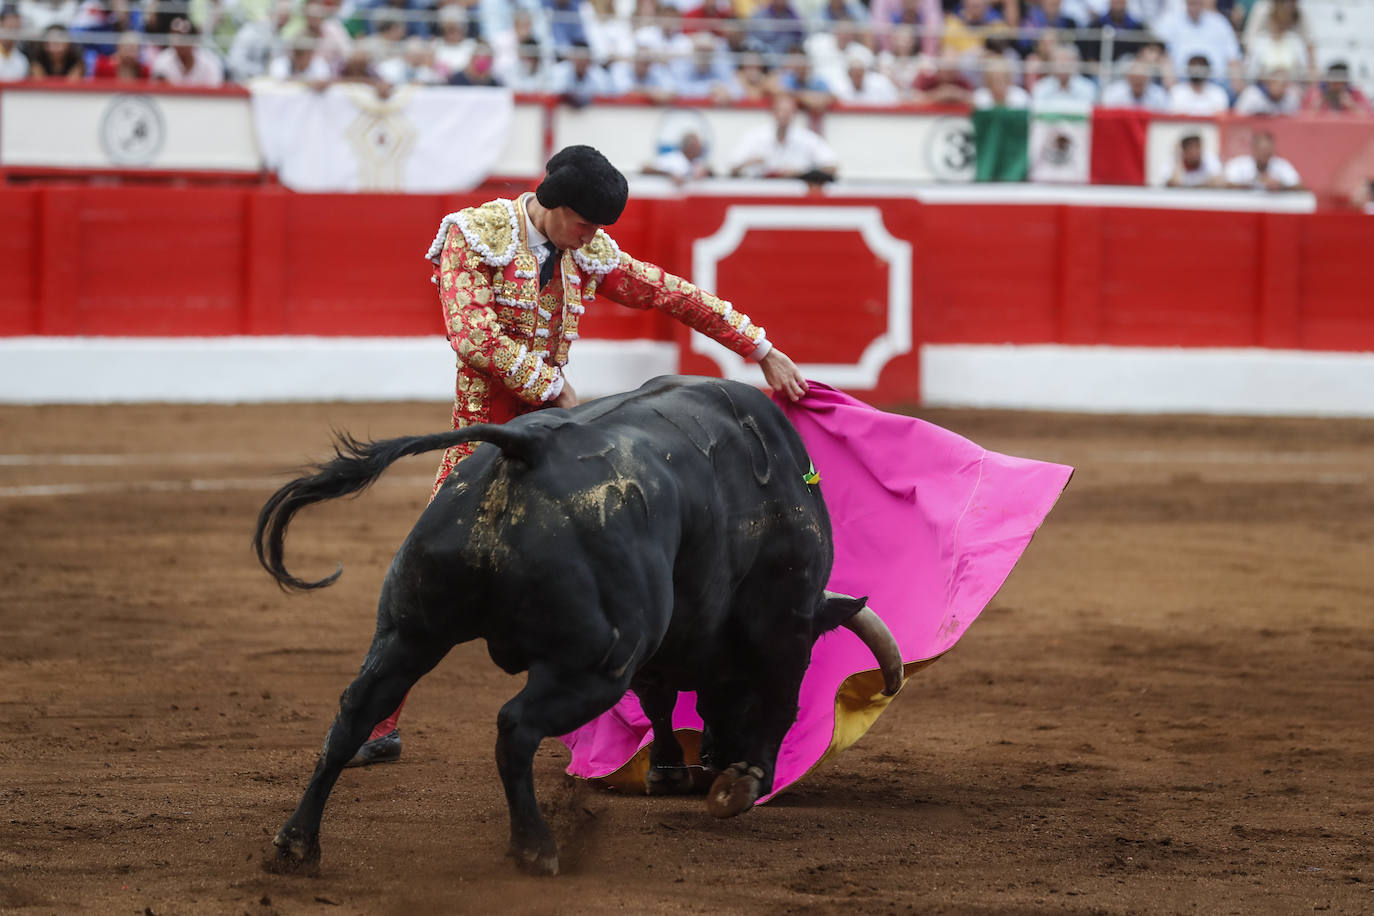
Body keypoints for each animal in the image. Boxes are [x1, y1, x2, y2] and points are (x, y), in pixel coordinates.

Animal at [255, 376, 901, 878]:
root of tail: (524, 446)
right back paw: (536, 848)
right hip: (593, 665)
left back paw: (296, 844)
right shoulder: (782, 624)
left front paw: (670, 771)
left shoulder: (664, 641)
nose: (718, 760)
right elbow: (770, 697)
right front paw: (741, 784)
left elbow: (661, 695)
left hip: (409, 630)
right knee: (515, 726)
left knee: (355, 710)